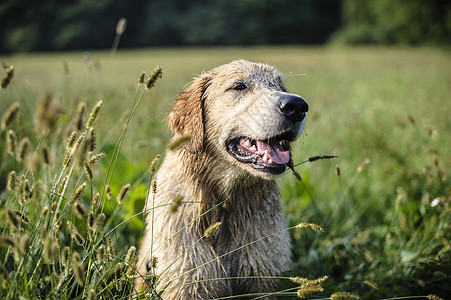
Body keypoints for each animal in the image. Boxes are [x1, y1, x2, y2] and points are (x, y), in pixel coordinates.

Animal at [136, 59, 308, 298]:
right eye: (239, 86)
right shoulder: (187, 283)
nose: (297, 106)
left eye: (281, 87)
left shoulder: (263, 279)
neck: (223, 203)